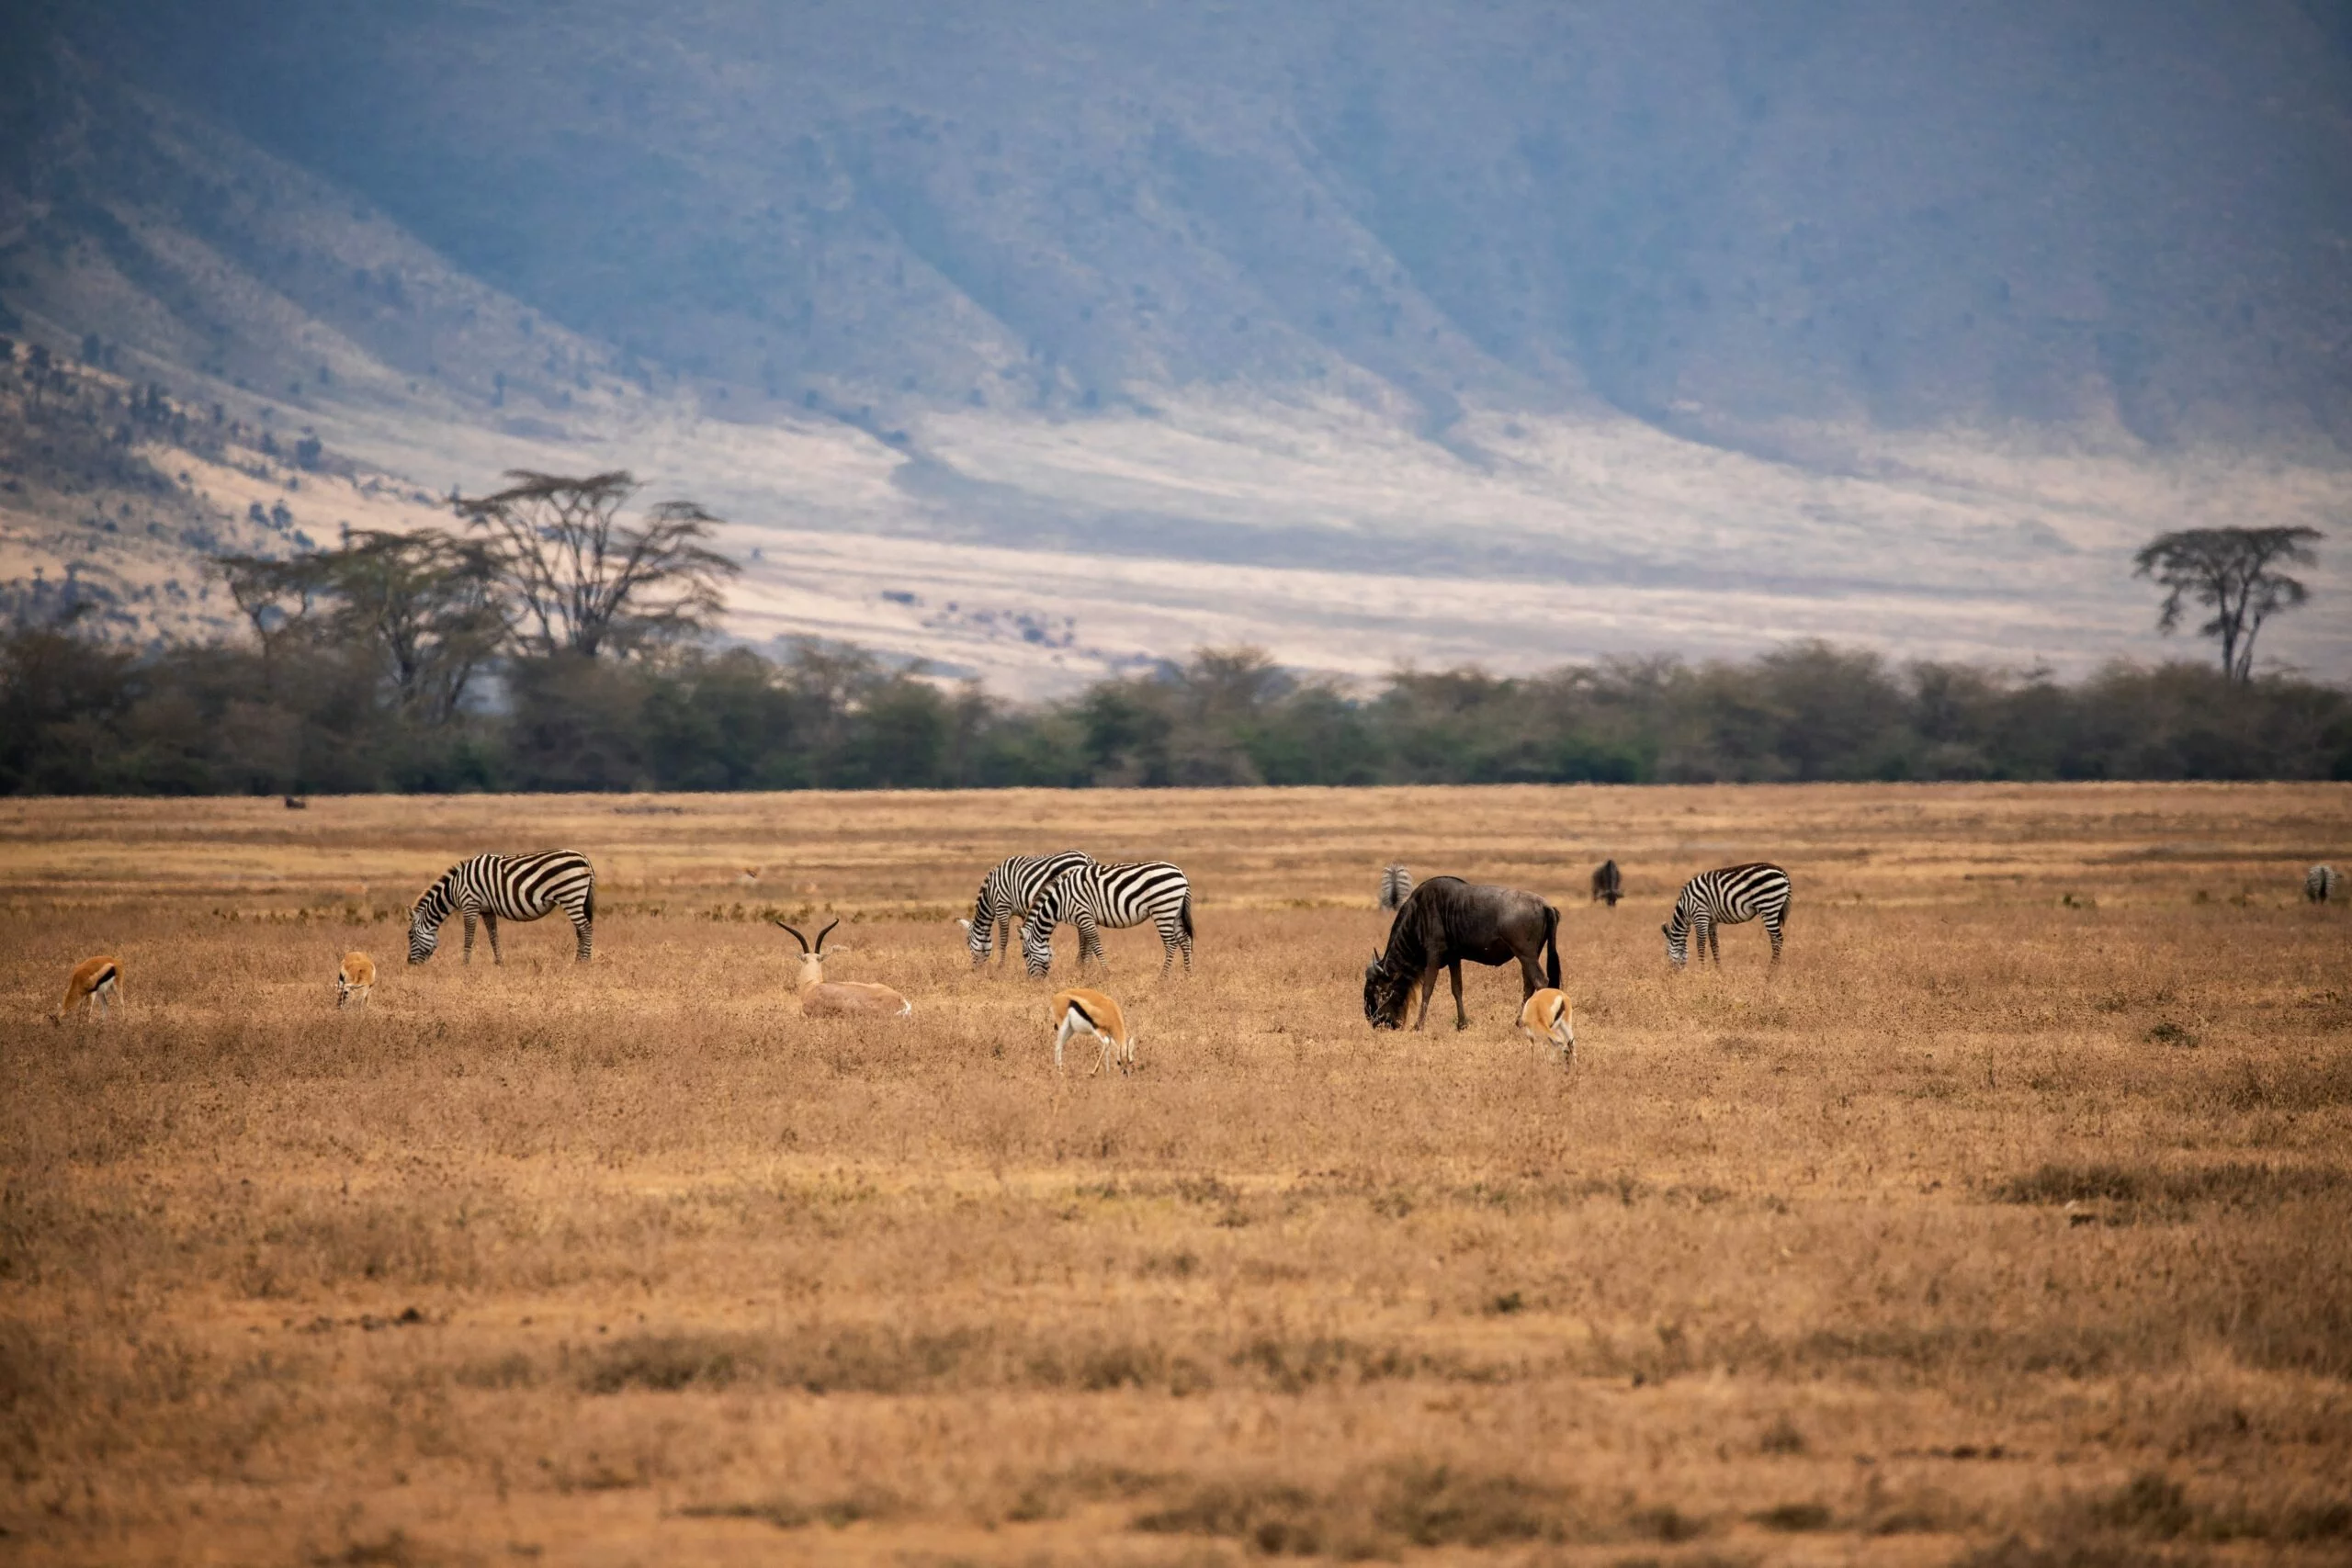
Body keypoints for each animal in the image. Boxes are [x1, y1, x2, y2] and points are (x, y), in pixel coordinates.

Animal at [404, 851, 593, 964]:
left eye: (410, 936)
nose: (409, 963)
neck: (455, 888)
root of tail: (584, 858)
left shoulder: (470, 904)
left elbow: (469, 936)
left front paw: (465, 964)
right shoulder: (487, 910)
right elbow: (493, 936)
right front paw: (499, 963)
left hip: (570, 895)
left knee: (586, 928)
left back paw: (586, 962)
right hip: (575, 899)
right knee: (580, 930)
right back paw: (577, 961)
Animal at [959, 851, 1095, 964]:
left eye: (968, 943)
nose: (974, 969)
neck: (990, 894)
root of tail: (1087, 858)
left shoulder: (1002, 906)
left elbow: (1003, 938)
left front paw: (1001, 965)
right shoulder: (1023, 911)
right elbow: (1025, 933)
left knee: (1083, 933)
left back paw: (1082, 963)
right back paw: (1085, 963)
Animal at [1021, 864, 1194, 973]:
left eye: (1025, 955)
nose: (1034, 982)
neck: (1059, 901)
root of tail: (1181, 874)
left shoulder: (1083, 914)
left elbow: (1095, 945)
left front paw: (1105, 973)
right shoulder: (1083, 919)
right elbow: (1086, 946)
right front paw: (1084, 971)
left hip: (1163, 909)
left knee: (1171, 943)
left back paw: (1162, 979)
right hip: (1175, 912)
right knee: (1185, 941)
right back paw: (1187, 976)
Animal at [1665, 860, 1787, 968]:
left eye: (1667, 955)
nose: (1670, 975)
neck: (1685, 910)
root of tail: (1782, 872)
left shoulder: (1700, 915)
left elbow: (1700, 945)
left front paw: (1701, 970)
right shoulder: (1712, 921)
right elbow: (1714, 945)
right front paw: (1719, 970)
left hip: (1768, 905)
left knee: (1777, 939)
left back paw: (1770, 972)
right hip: (1772, 906)